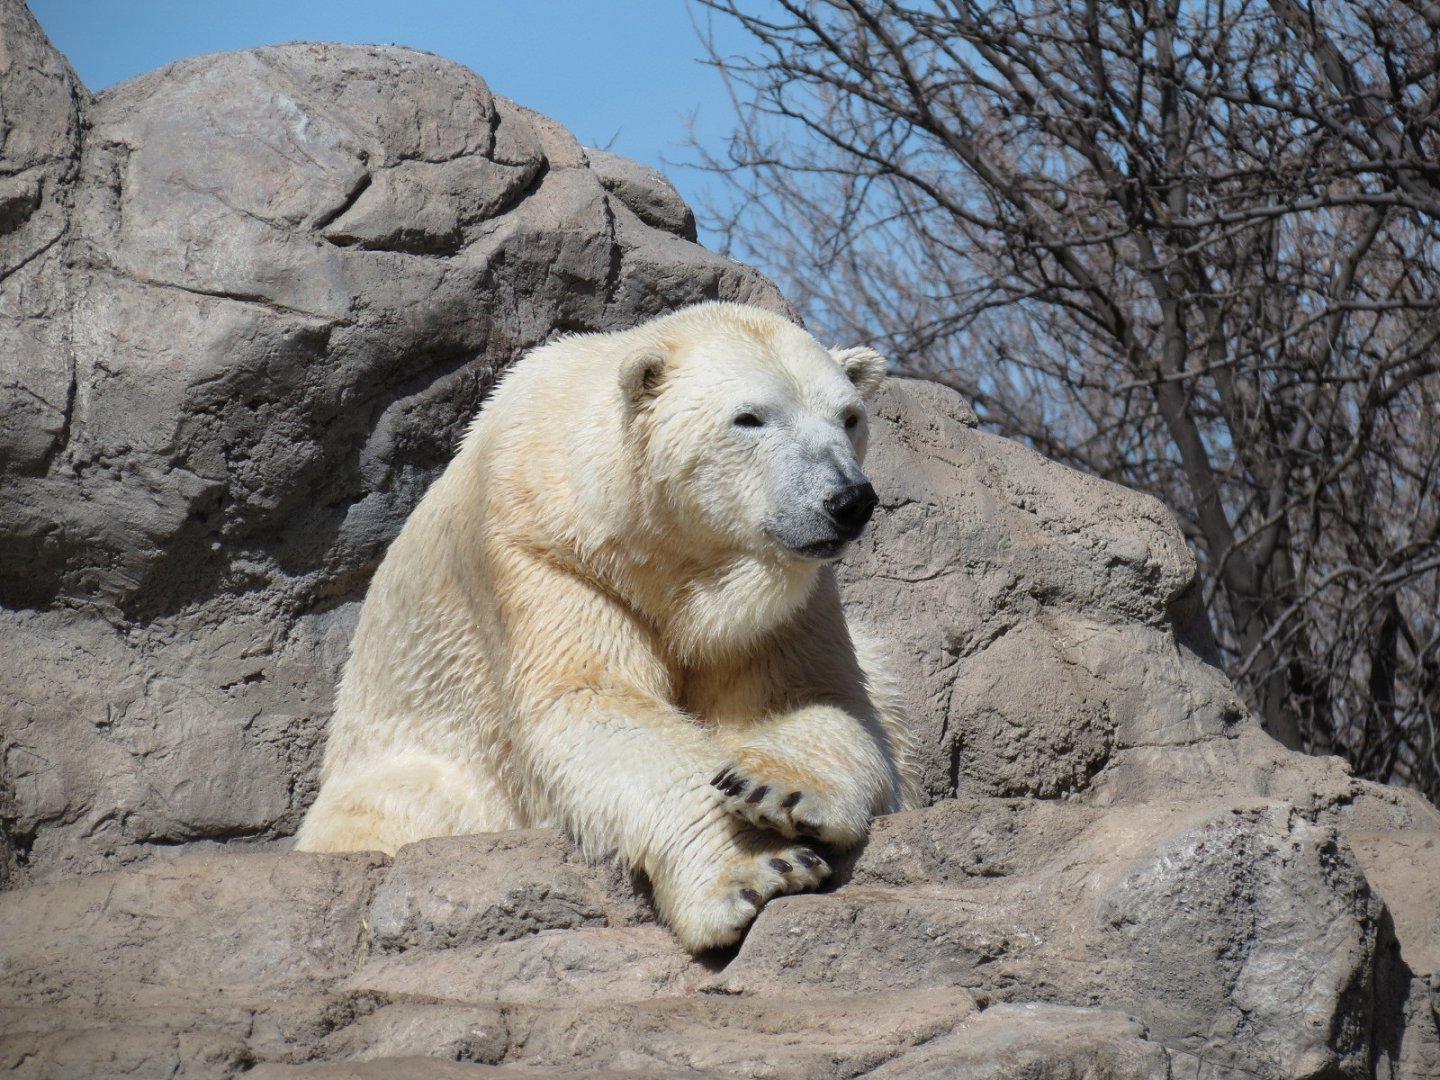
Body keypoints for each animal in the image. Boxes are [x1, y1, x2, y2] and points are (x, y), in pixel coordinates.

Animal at [294, 301, 918, 951]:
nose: (847, 500)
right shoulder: (545, 553)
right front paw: (759, 869)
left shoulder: (780, 603)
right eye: (749, 417)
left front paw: (775, 786)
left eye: (849, 417)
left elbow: (806, 696)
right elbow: (592, 701)